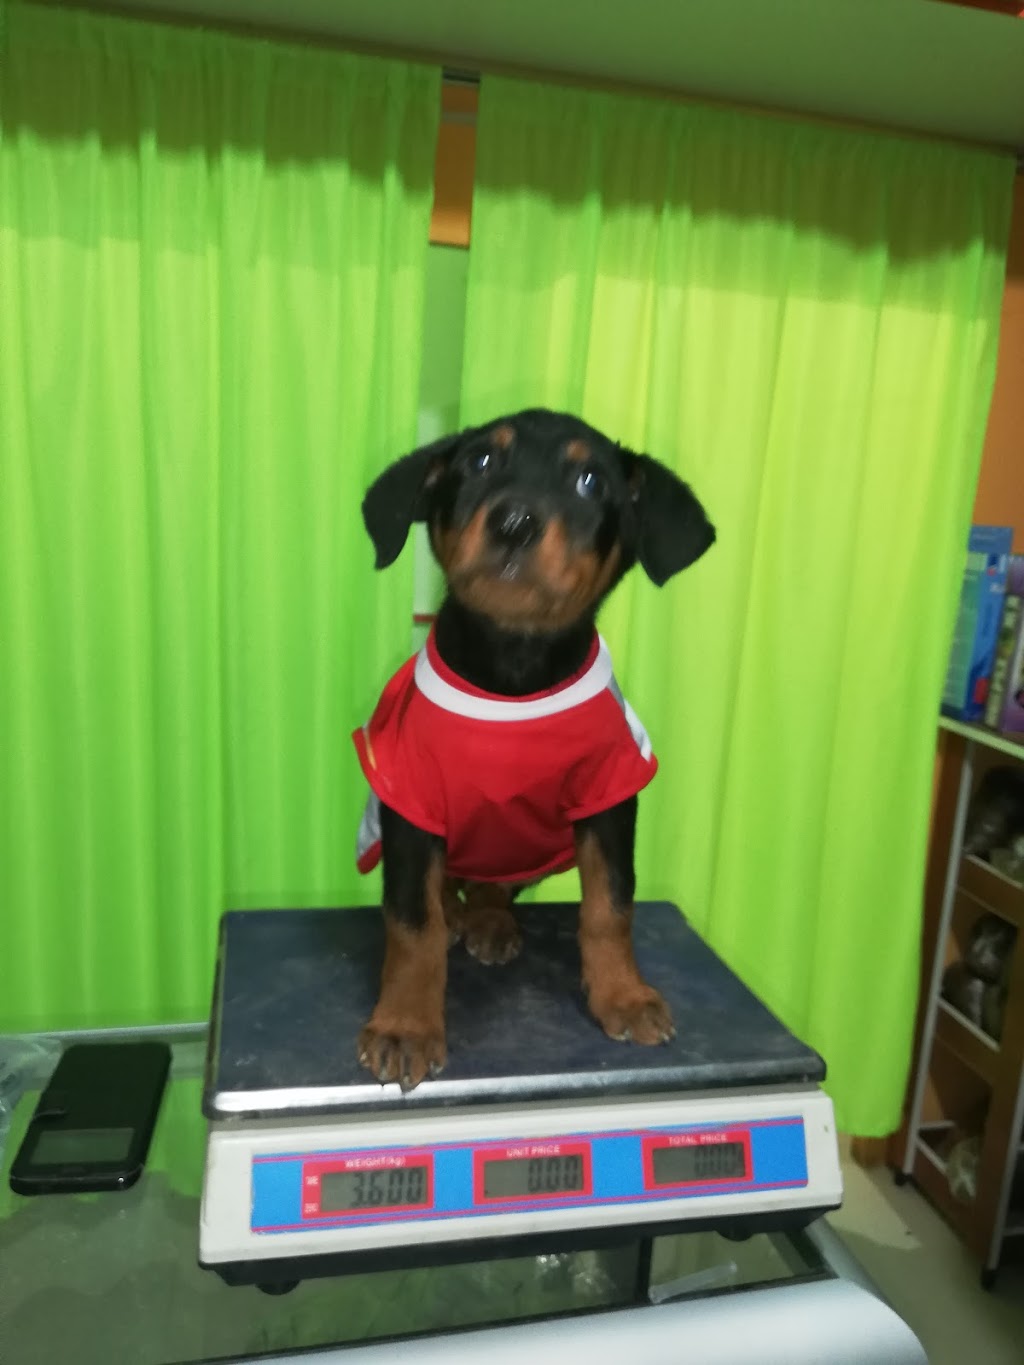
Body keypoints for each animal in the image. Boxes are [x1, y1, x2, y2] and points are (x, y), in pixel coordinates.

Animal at [353, 408, 714, 1090]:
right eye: (480, 463)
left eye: (590, 481)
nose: (514, 522)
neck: (513, 668)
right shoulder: (410, 805)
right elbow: (411, 922)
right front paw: (405, 1025)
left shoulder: (610, 796)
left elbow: (610, 906)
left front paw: (623, 995)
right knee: (444, 893)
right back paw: (459, 917)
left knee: (494, 887)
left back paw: (491, 921)